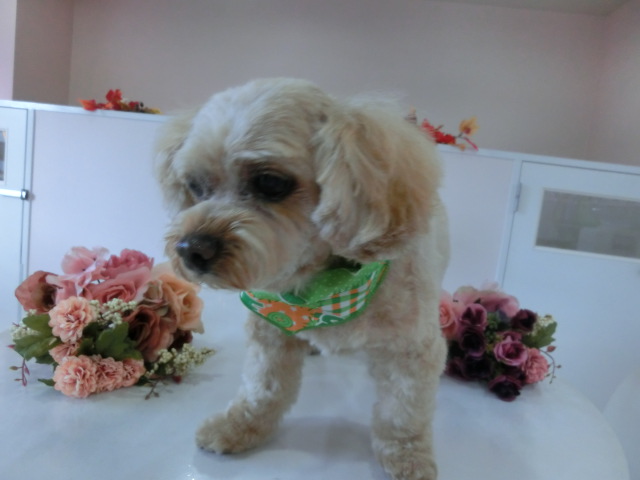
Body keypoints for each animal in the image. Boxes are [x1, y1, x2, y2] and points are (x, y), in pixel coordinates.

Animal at [155, 78, 449, 480]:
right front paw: (239, 426)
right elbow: (263, 389)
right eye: (196, 187)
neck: (324, 290)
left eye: (270, 182)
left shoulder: (412, 350)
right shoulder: (270, 330)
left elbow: (402, 412)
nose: (190, 250)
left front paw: (407, 455)